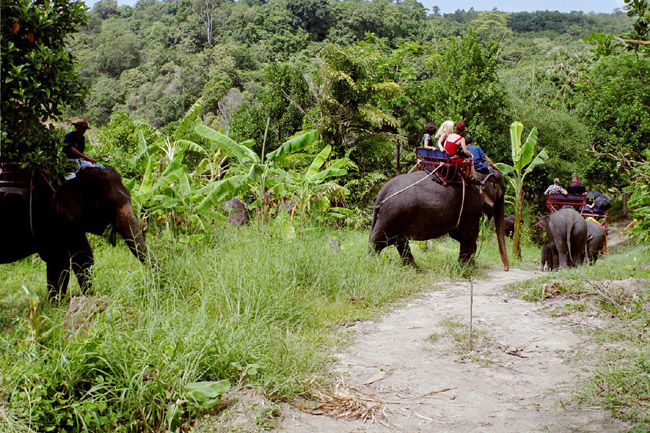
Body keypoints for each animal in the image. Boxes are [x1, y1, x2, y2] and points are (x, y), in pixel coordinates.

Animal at [0, 165, 150, 300]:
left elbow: (83, 256)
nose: (153, 280)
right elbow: (59, 259)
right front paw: (56, 305)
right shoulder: (45, 216)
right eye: (108, 206)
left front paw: (89, 296)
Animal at [369, 170, 509, 270]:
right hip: (393, 214)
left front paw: (469, 265)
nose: (506, 269)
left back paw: (415, 269)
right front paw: (463, 269)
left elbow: (457, 234)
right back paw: (372, 263)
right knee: (377, 241)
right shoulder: (471, 207)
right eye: (502, 190)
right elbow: (468, 234)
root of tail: (382, 193)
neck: (480, 174)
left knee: (400, 242)